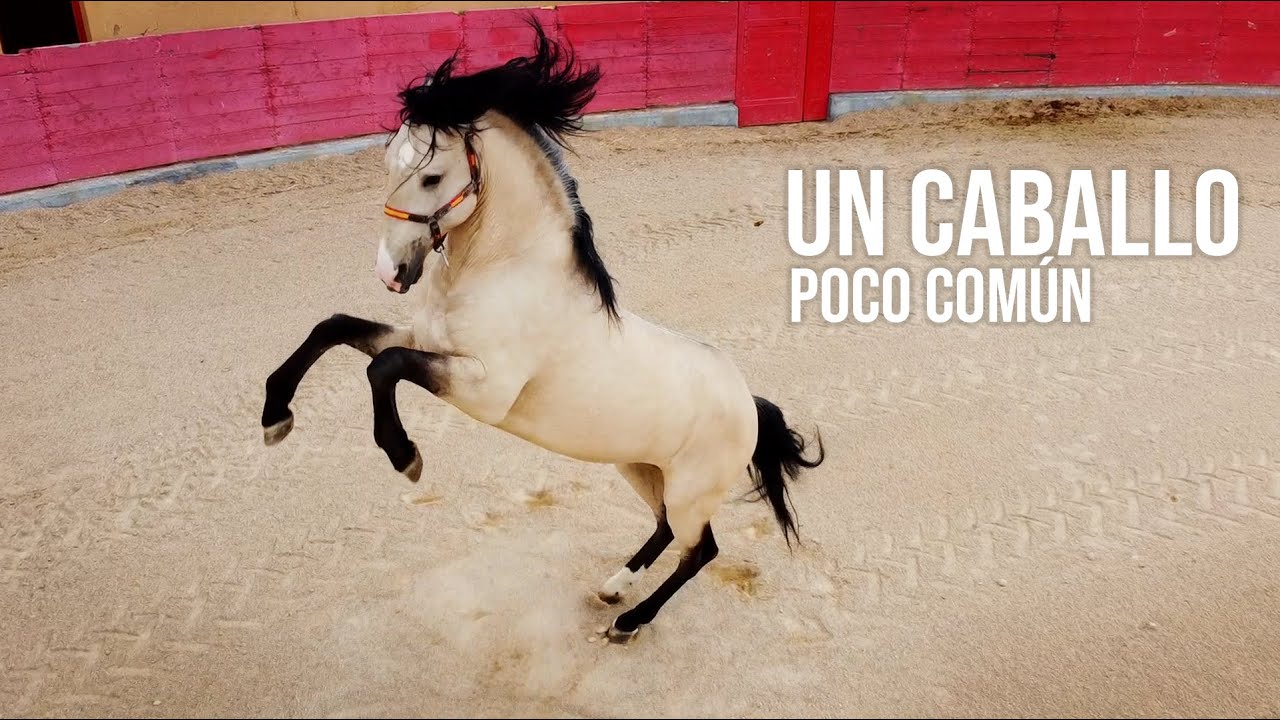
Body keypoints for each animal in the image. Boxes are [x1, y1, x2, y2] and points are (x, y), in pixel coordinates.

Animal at [259, 18, 825, 644]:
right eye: (388, 164)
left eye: (432, 176)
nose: (390, 272)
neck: (506, 270)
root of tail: (751, 405)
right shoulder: (425, 341)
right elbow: (335, 329)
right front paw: (275, 418)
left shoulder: (483, 389)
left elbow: (382, 367)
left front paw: (405, 456)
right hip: (640, 466)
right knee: (665, 532)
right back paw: (614, 587)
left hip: (689, 491)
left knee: (700, 551)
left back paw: (627, 621)